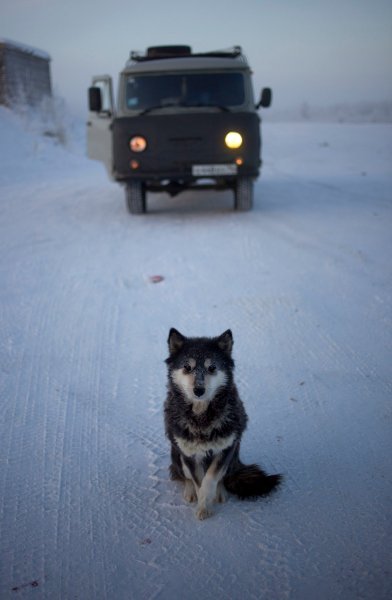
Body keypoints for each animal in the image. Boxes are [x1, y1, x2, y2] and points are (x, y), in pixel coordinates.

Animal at [163, 328, 282, 520]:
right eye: (187, 367)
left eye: (212, 368)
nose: (199, 390)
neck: (202, 417)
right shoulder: (189, 453)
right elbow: (197, 480)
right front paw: (201, 504)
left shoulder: (226, 448)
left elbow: (210, 478)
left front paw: (206, 502)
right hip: (177, 454)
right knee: (183, 475)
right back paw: (189, 491)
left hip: (232, 457)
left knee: (222, 477)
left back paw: (220, 492)